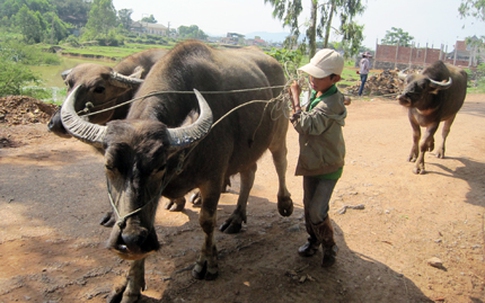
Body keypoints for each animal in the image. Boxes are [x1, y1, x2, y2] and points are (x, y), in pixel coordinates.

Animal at [61, 41, 294, 303]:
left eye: (159, 167)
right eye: (109, 165)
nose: (130, 240)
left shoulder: (213, 178)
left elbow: (207, 221)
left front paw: (207, 263)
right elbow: (148, 220)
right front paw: (131, 286)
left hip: (279, 131)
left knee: (281, 161)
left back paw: (284, 203)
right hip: (248, 149)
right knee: (249, 174)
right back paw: (236, 218)